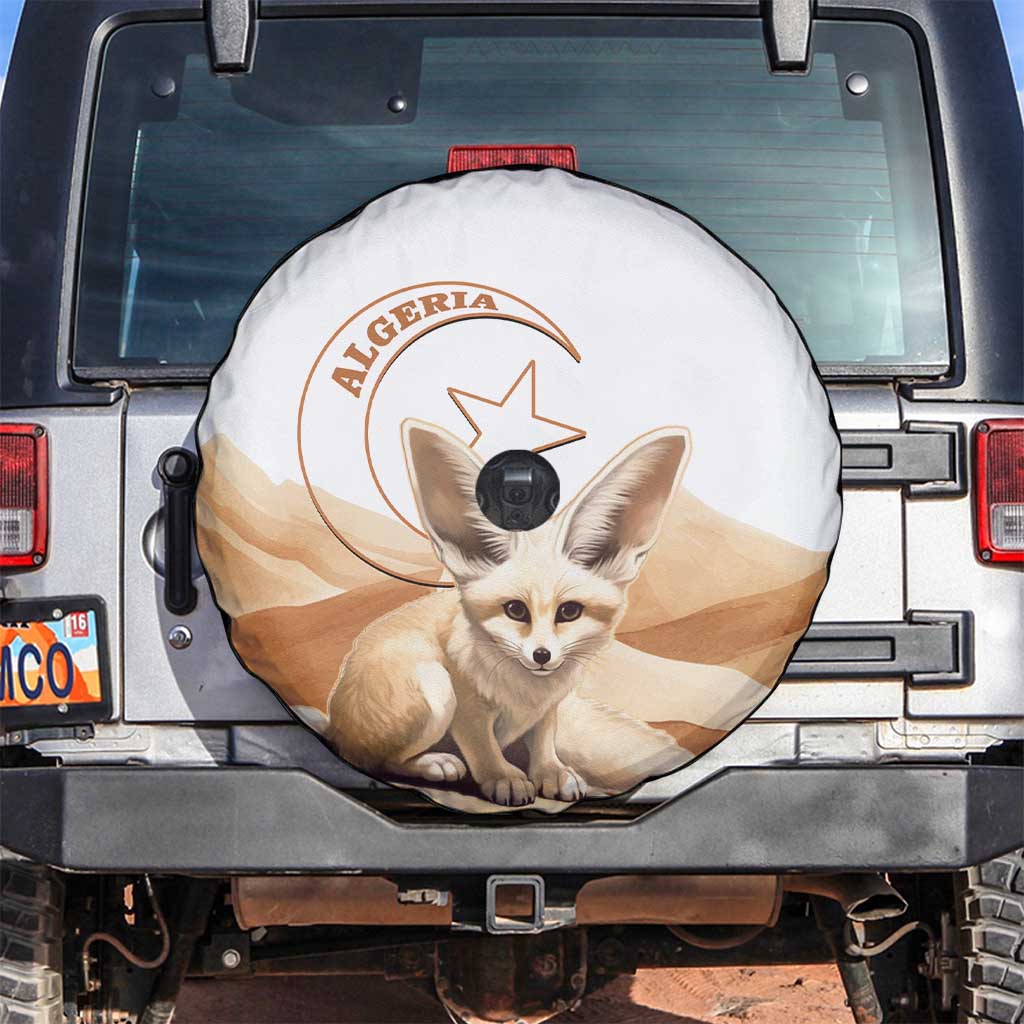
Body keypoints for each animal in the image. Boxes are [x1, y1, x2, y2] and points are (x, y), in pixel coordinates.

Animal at [324, 419, 692, 806]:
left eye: (569, 612)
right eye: (515, 610)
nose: (542, 655)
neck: (526, 691)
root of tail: (333, 728)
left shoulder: (548, 708)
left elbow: (543, 739)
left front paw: (550, 772)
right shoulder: (467, 706)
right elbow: (483, 747)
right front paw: (504, 778)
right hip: (435, 685)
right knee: (374, 760)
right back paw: (433, 763)